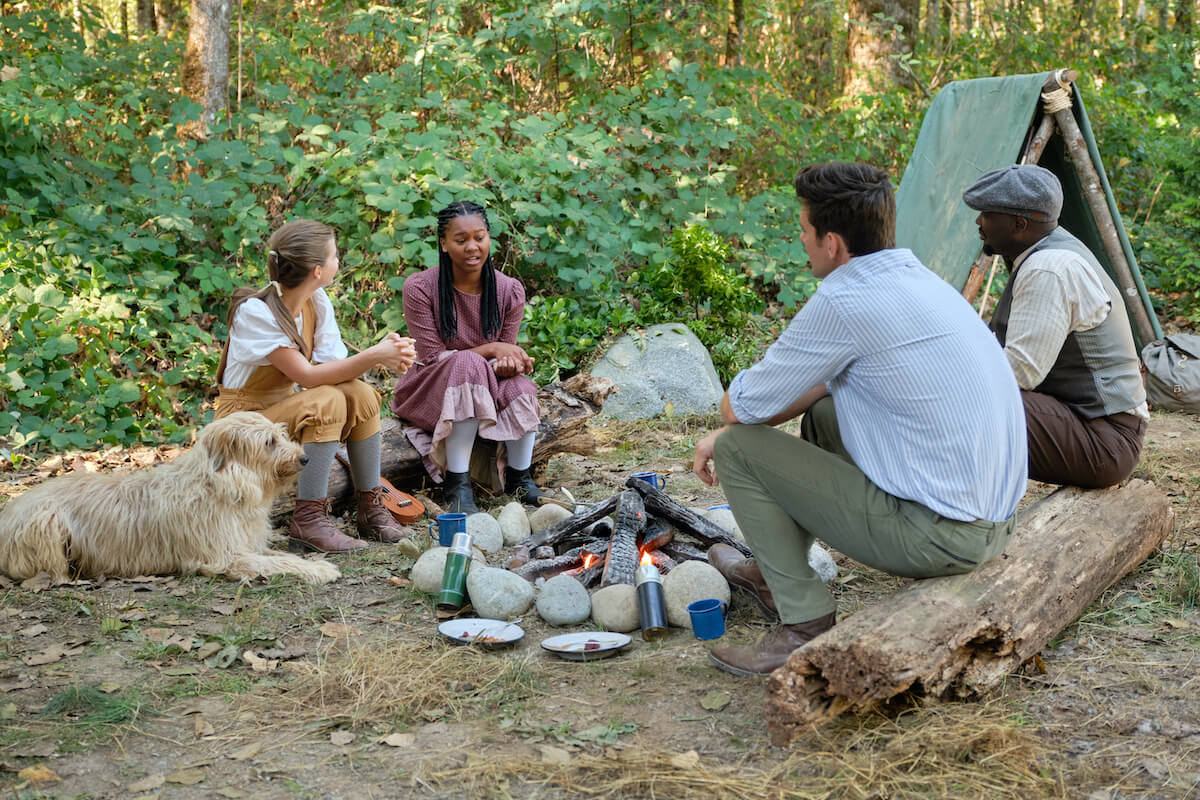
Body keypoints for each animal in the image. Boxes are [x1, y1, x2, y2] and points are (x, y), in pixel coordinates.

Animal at [0, 417, 340, 585]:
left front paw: (312, 562)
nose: (305, 458)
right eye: (269, 442)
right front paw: (320, 571)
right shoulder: (223, 557)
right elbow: (274, 561)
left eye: (280, 435)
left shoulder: (246, 543)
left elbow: (277, 555)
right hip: (46, 524)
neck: (221, 485)